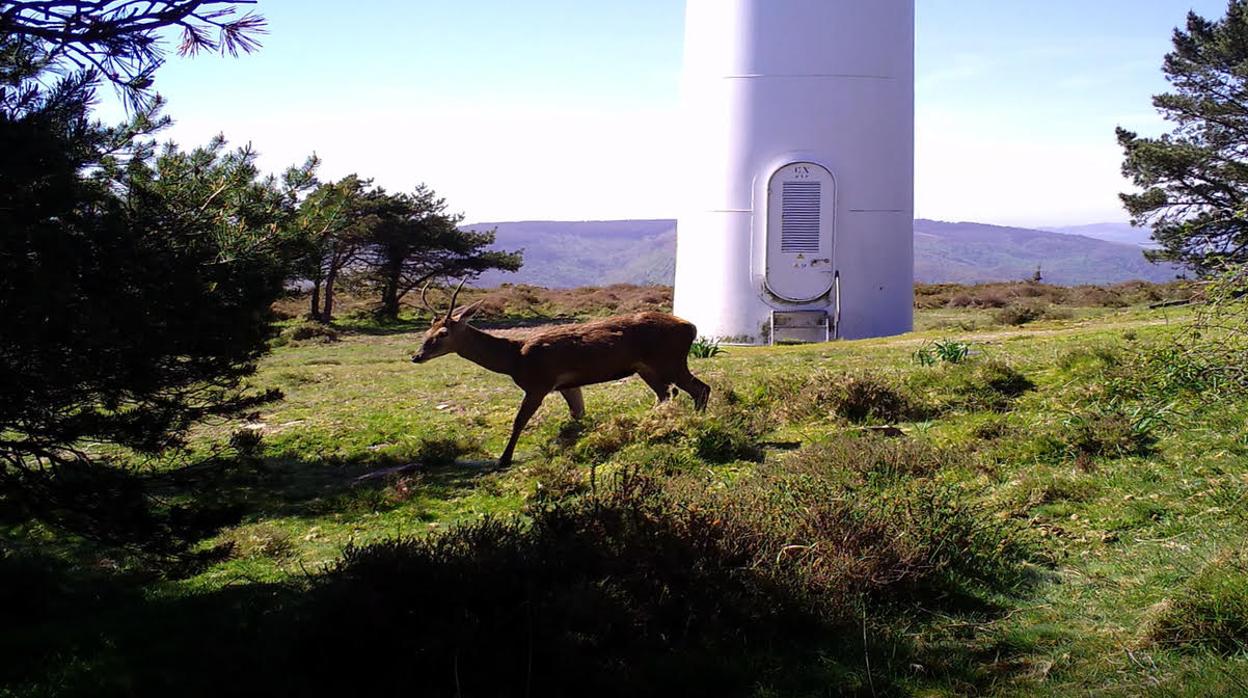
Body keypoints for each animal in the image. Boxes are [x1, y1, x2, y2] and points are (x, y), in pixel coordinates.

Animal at [411, 280, 713, 466]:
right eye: (427, 330)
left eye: (443, 333)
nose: (416, 356)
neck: (514, 359)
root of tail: (692, 327)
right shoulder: (567, 384)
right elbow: (578, 414)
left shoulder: (539, 383)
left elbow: (519, 421)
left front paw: (503, 459)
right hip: (648, 368)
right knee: (668, 394)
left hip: (669, 360)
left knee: (700, 388)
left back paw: (695, 424)